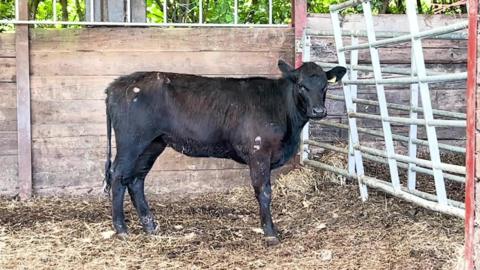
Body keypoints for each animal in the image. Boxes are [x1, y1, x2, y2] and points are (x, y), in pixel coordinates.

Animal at [104, 60, 344, 246]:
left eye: (324, 86)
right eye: (301, 86)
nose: (319, 111)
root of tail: (118, 84)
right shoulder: (259, 153)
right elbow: (264, 192)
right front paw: (270, 233)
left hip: (153, 144)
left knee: (136, 179)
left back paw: (151, 226)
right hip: (131, 142)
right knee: (118, 176)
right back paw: (121, 228)